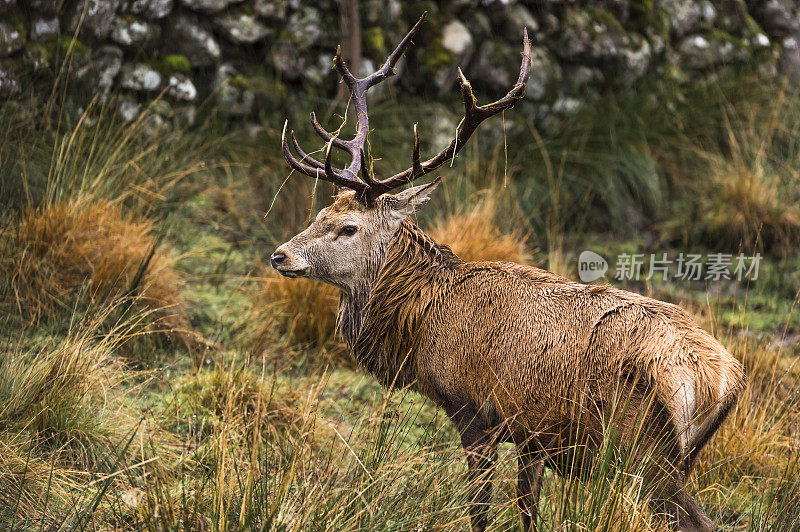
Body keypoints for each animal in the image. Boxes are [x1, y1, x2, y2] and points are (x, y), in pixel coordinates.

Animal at [272, 12, 748, 532]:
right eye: (320, 212)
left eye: (348, 227)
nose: (280, 256)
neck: (420, 327)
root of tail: (725, 380)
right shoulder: (533, 433)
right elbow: (527, 505)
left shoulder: (476, 413)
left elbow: (480, 510)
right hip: (674, 457)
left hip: (642, 448)